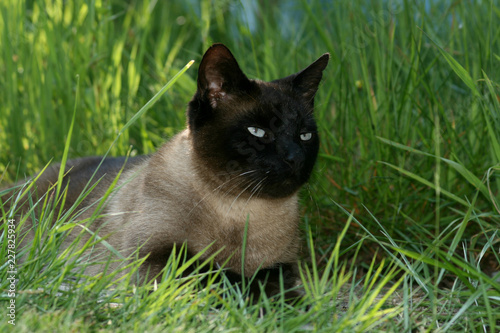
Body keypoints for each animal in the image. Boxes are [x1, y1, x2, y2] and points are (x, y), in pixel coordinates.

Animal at [4, 42, 332, 300]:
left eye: (304, 136)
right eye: (259, 132)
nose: (294, 158)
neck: (241, 210)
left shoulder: (282, 266)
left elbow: (272, 284)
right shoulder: (154, 256)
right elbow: (216, 275)